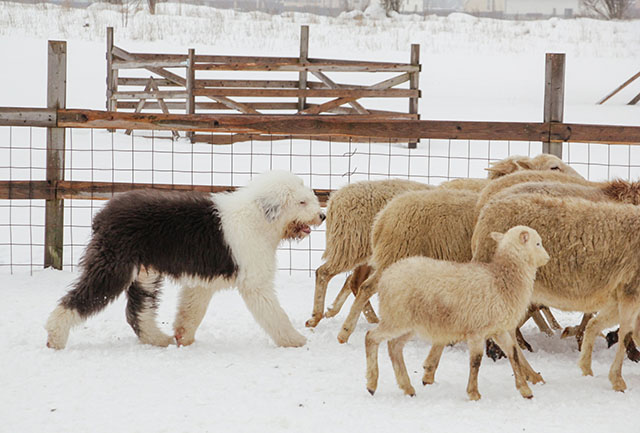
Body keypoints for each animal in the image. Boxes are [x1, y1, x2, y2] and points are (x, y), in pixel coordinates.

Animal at [45, 170, 324, 350]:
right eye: (302, 202)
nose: (321, 215)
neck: (258, 218)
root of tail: (102, 216)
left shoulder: (202, 281)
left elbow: (191, 311)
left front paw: (183, 337)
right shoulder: (254, 281)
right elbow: (274, 313)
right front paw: (295, 340)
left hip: (144, 273)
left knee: (138, 311)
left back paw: (158, 339)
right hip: (114, 267)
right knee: (80, 299)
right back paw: (55, 337)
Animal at [312, 153, 584, 328]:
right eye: (554, 167)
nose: (581, 181)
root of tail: (335, 198)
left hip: (369, 253)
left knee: (352, 281)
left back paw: (346, 314)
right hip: (354, 247)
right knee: (327, 274)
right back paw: (319, 317)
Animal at [364, 226, 552, 398]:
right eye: (538, 243)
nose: (548, 258)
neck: (502, 278)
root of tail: (386, 276)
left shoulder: (498, 330)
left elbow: (513, 354)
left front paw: (525, 390)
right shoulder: (477, 331)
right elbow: (476, 361)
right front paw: (473, 393)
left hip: (409, 324)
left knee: (394, 347)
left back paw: (407, 387)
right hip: (396, 318)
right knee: (371, 337)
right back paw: (372, 384)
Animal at [470, 194, 640, 390]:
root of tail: (487, 210)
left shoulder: (618, 299)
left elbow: (598, 326)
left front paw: (587, 369)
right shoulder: (630, 291)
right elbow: (626, 334)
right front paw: (617, 380)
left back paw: (530, 374)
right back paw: (528, 373)